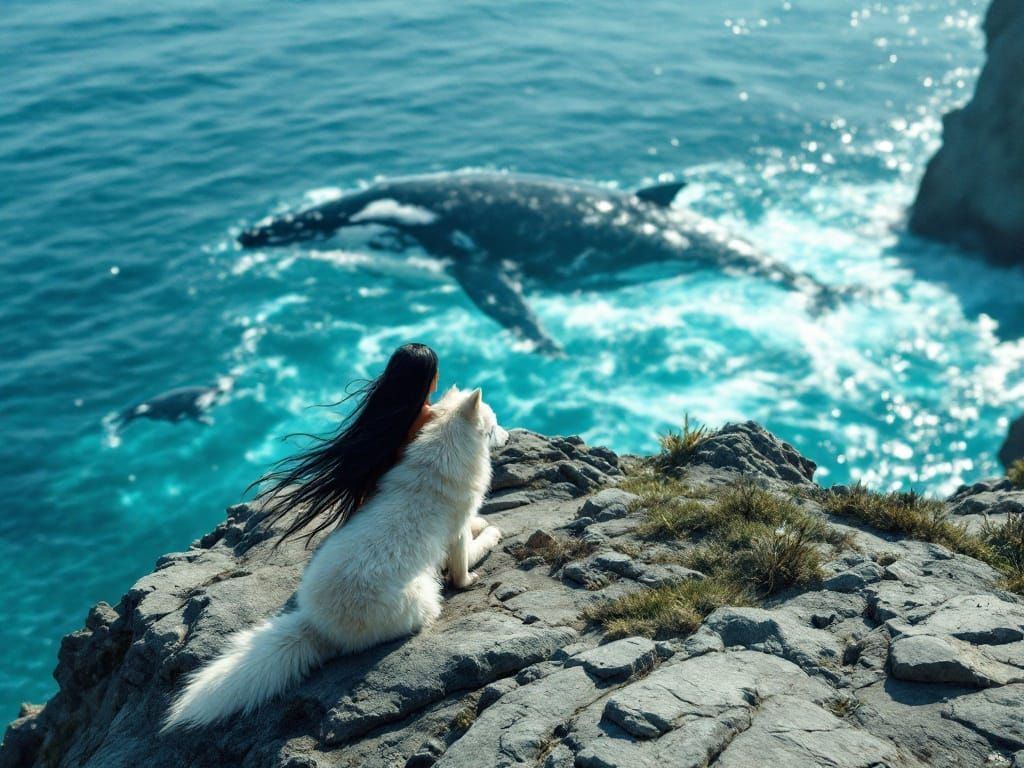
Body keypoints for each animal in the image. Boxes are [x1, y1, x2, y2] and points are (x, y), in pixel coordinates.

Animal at [162, 386, 507, 731]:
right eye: (495, 424)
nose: (505, 437)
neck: (443, 452)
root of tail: (317, 625)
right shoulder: (456, 534)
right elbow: (466, 560)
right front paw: (481, 552)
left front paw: (483, 525)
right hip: (422, 595)